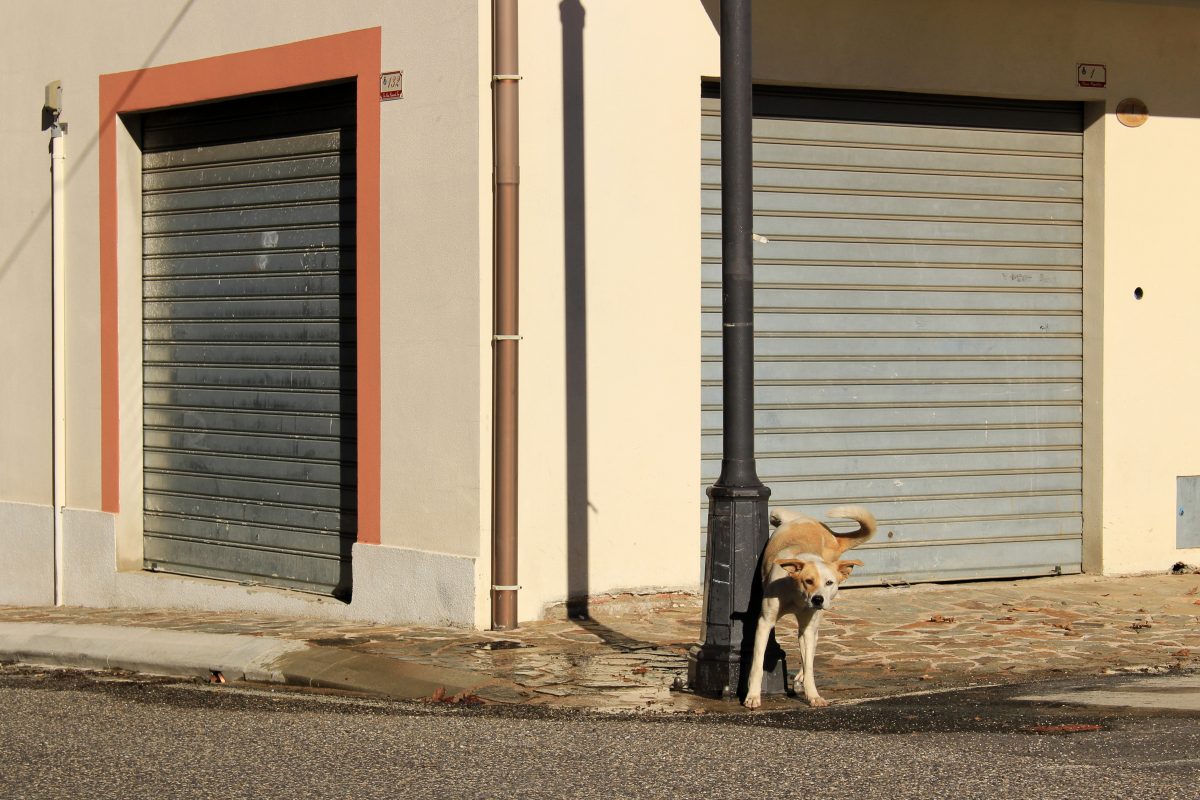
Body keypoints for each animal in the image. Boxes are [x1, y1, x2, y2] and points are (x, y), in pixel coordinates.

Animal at [739, 503, 873, 710]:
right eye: (808, 581)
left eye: (829, 582)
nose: (818, 599)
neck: (798, 597)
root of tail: (833, 536)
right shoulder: (765, 622)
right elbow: (757, 664)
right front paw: (752, 696)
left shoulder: (808, 627)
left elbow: (809, 664)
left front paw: (814, 695)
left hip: (814, 623)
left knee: (811, 648)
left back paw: (802, 675)